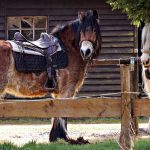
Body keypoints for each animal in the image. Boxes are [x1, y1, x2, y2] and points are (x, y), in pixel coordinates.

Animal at [0, 9, 101, 141]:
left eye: (94, 30)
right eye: (82, 31)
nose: (86, 51)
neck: (68, 49)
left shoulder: (59, 93)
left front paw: (55, 137)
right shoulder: (67, 90)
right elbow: (63, 113)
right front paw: (64, 137)